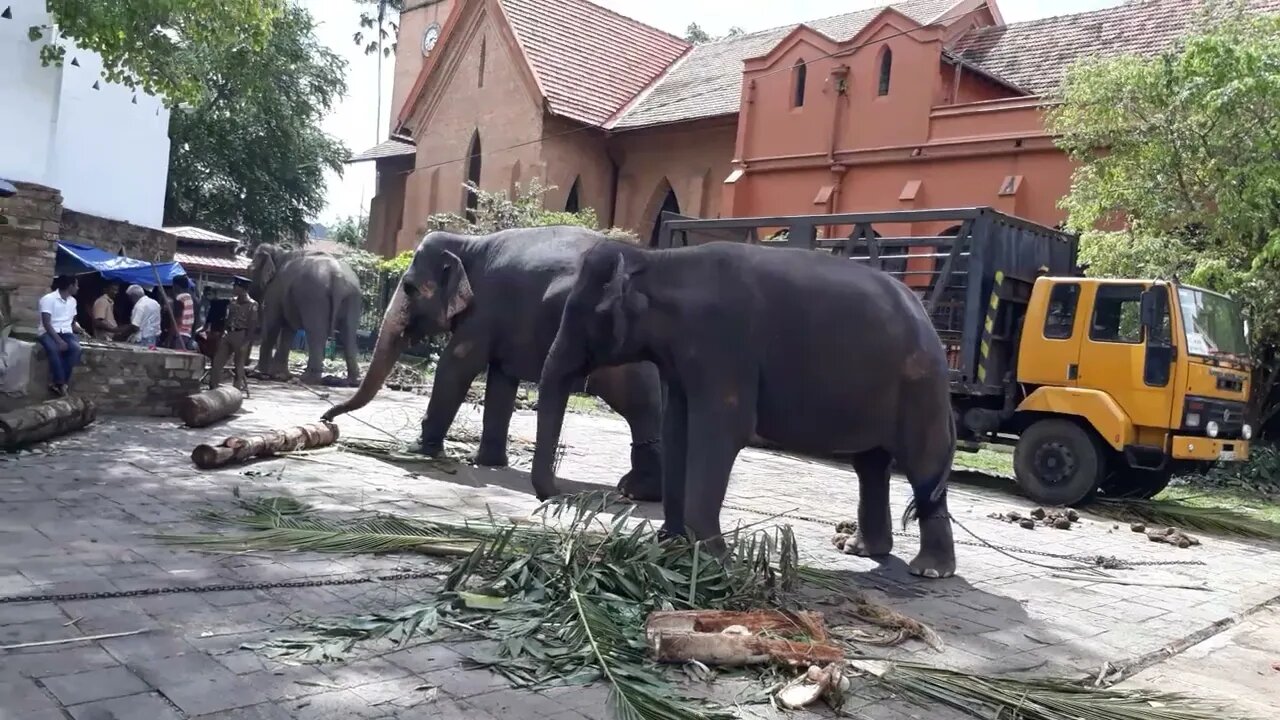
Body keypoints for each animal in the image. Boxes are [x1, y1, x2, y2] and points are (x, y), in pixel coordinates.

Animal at [249, 242, 363, 386]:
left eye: (250, 269)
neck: (280, 253)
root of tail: (338, 277)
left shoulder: (275, 290)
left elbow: (272, 324)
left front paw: (259, 372)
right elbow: (288, 329)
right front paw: (280, 375)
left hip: (314, 296)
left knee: (316, 332)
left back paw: (308, 379)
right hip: (352, 296)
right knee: (349, 333)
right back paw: (353, 381)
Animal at [529, 239, 962, 576]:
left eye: (590, 314)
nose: (561, 496)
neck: (658, 260)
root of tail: (926, 316)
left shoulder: (723, 345)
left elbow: (720, 431)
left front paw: (712, 557)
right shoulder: (683, 362)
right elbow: (678, 428)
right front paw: (669, 543)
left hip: (920, 386)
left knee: (921, 462)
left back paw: (929, 570)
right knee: (871, 464)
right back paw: (861, 550)